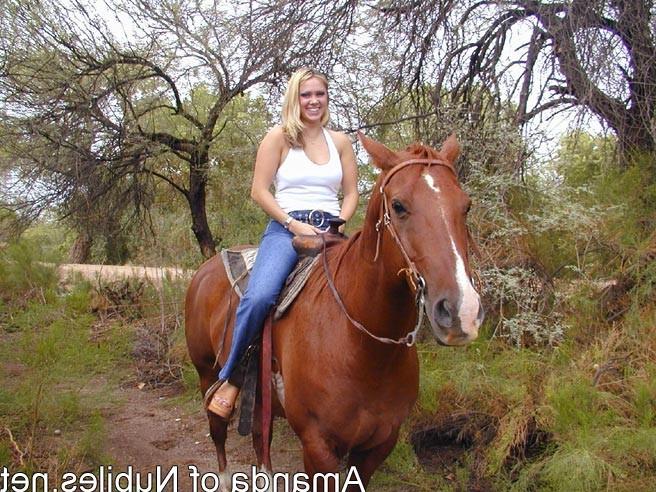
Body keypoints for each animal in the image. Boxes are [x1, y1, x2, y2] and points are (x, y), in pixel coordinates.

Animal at [184, 132, 484, 489]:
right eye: (398, 206)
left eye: (466, 205)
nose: (461, 311)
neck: (363, 348)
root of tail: (205, 269)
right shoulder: (318, 446)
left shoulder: (379, 445)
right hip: (206, 372)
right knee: (217, 429)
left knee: (260, 437)